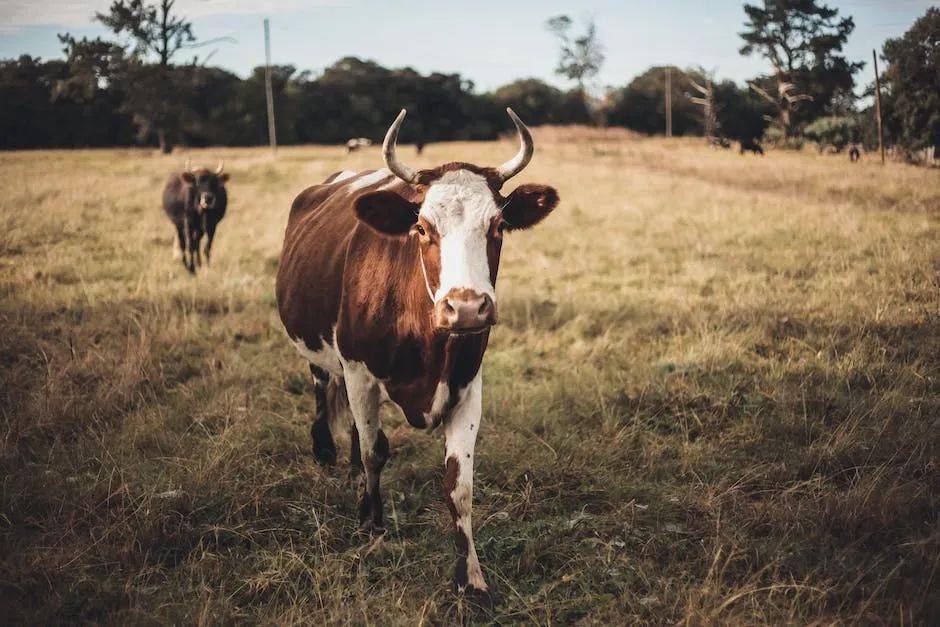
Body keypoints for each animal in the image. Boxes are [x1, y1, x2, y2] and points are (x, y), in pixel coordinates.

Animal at [278, 109, 560, 604]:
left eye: (498, 227)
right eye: (423, 229)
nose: (466, 307)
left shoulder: (468, 385)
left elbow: (458, 484)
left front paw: (470, 576)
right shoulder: (359, 370)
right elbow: (376, 451)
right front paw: (372, 525)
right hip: (321, 352)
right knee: (322, 387)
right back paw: (326, 451)